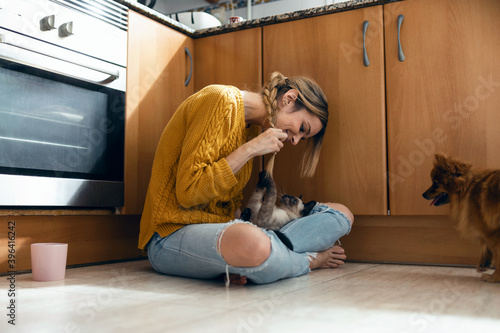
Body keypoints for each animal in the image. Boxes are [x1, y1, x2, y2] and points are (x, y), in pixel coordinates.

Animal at [422, 152, 500, 280]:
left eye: (435, 183)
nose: (423, 194)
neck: (468, 187)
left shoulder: (491, 231)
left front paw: (494, 277)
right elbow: (487, 247)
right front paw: (485, 263)